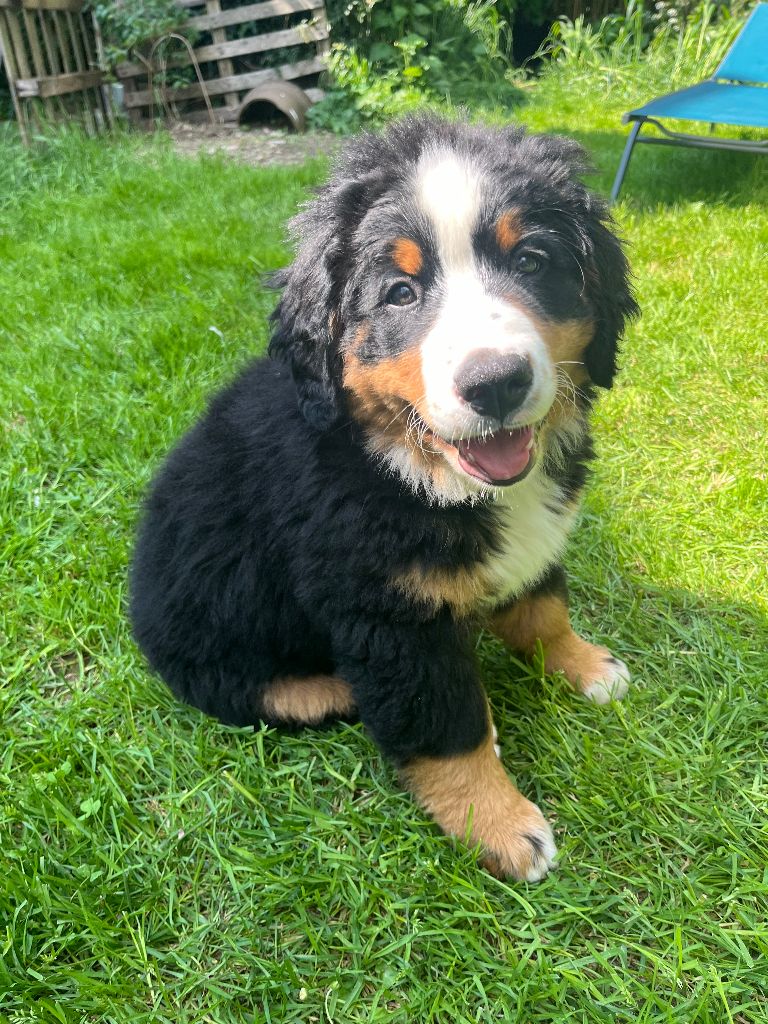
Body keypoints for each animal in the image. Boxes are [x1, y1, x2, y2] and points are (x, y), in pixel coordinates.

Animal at [130, 115, 638, 882]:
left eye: (531, 262)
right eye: (400, 292)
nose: (495, 383)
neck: (408, 465)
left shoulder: (534, 542)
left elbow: (543, 607)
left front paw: (582, 664)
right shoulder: (389, 614)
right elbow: (447, 725)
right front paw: (497, 825)